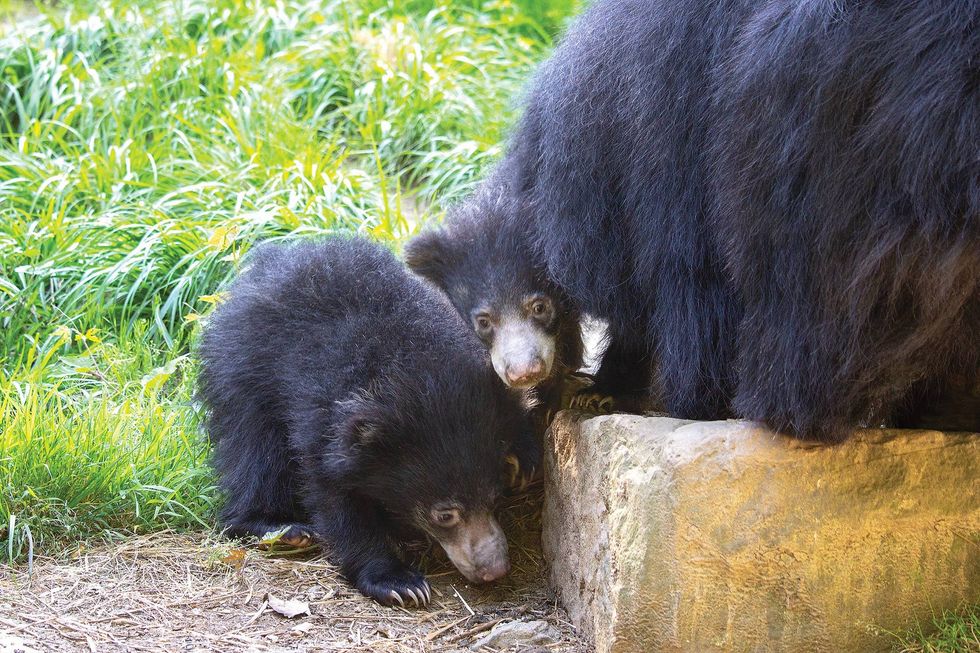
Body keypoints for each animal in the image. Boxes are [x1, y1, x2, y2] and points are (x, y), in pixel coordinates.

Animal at [197, 237, 537, 606]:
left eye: (495, 499)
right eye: (445, 515)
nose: (494, 569)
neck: (422, 378)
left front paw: (522, 463)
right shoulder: (328, 427)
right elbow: (338, 501)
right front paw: (400, 583)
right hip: (244, 375)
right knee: (256, 454)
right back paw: (282, 530)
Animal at [415, 0, 980, 441]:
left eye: (539, 306)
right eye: (482, 321)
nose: (522, 372)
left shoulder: (677, 134)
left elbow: (687, 275)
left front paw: (654, 395)